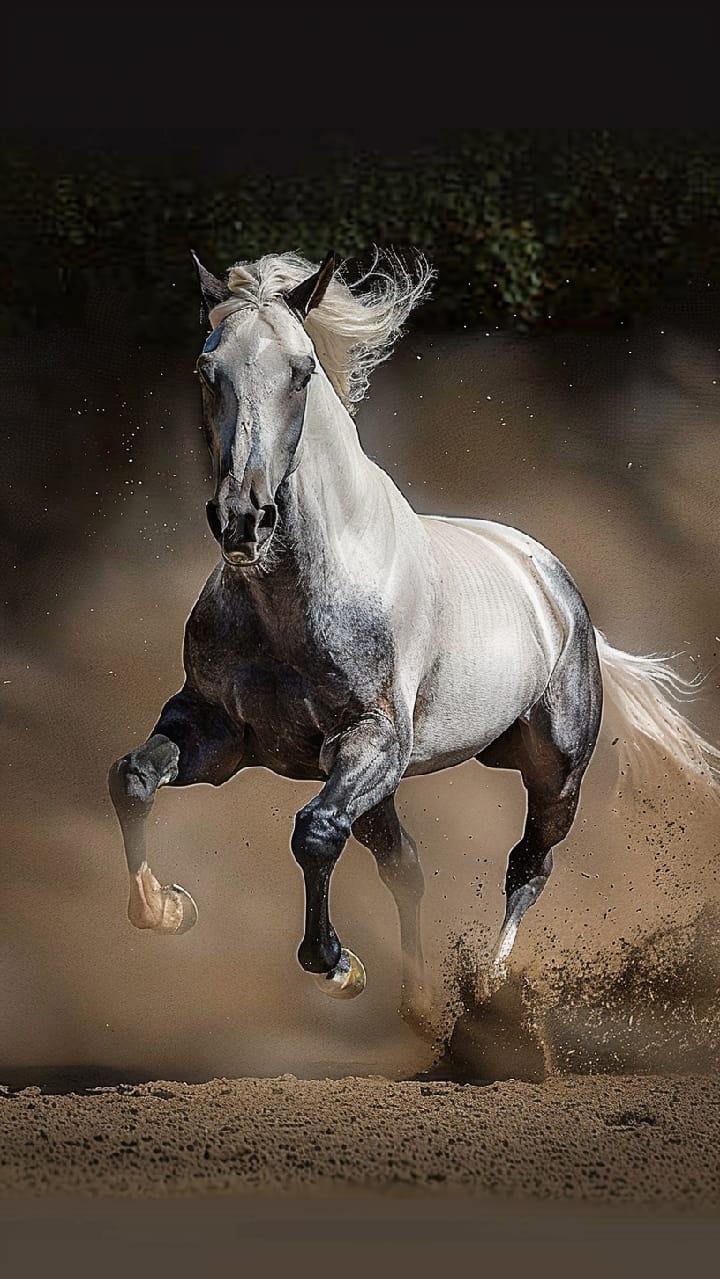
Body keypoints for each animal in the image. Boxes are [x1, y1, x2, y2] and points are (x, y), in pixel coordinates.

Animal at [108, 248, 719, 1036]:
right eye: (206, 368)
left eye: (301, 371)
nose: (243, 519)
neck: (291, 603)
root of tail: (556, 586)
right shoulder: (216, 733)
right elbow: (133, 777)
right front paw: (166, 907)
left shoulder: (371, 740)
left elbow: (313, 832)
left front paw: (338, 966)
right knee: (406, 864)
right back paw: (421, 1000)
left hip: (556, 773)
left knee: (529, 866)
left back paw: (487, 990)